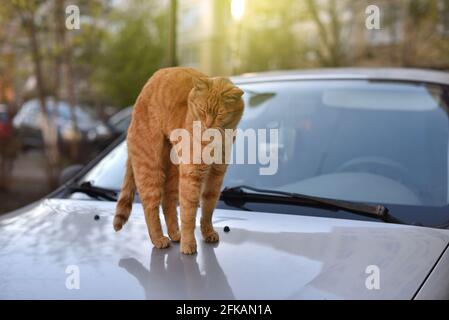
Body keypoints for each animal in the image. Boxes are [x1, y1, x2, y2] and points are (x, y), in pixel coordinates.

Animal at [114, 67, 243, 255]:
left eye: (219, 114)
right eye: (202, 110)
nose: (207, 124)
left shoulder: (216, 174)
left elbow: (208, 207)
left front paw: (207, 232)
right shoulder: (192, 173)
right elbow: (188, 213)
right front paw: (189, 244)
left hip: (174, 171)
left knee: (167, 202)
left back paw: (175, 234)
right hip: (151, 169)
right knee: (150, 207)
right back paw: (159, 239)